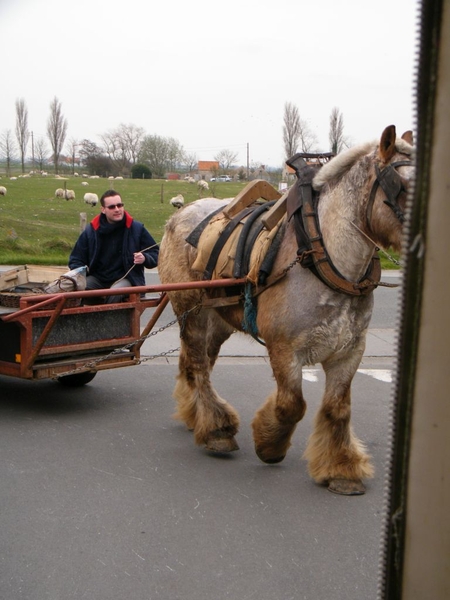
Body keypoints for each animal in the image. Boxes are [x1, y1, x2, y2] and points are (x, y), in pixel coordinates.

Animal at [158, 124, 414, 494]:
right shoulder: (284, 350)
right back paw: (215, 429)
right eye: (402, 185)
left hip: (218, 320)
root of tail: (179, 213)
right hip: (189, 311)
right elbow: (292, 405)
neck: (322, 258)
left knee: (199, 362)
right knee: (198, 367)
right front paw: (270, 443)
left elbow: (337, 408)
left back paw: (197, 415)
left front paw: (341, 468)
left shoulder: (349, 352)